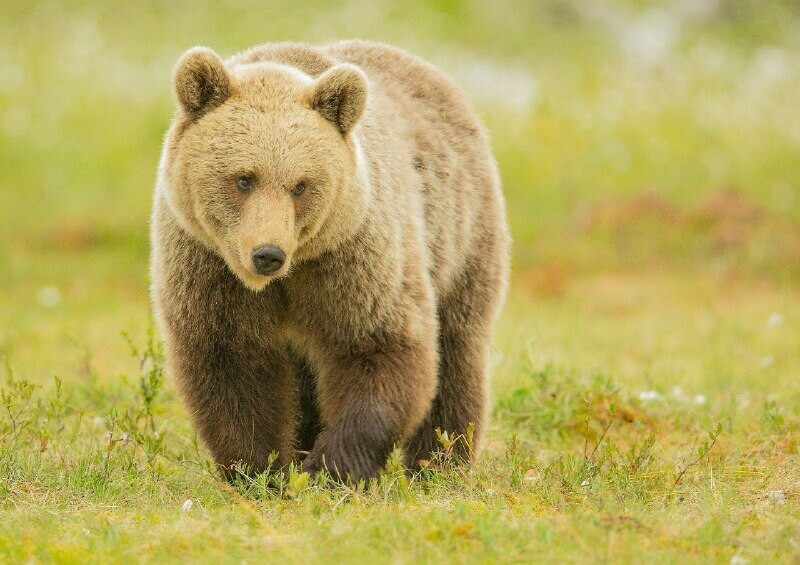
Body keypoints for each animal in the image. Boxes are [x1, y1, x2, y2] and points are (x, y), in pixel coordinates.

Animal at [150, 40, 510, 480]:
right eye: (243, 179)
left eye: (301, 185)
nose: (268, 254)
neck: (289, 275)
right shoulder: (208, 267)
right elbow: (232, 366)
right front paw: (261, 469)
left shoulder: (351, 257)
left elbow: (377, 347)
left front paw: (331, 467)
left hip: (460, 236)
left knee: (458, 354)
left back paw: (439, 464)